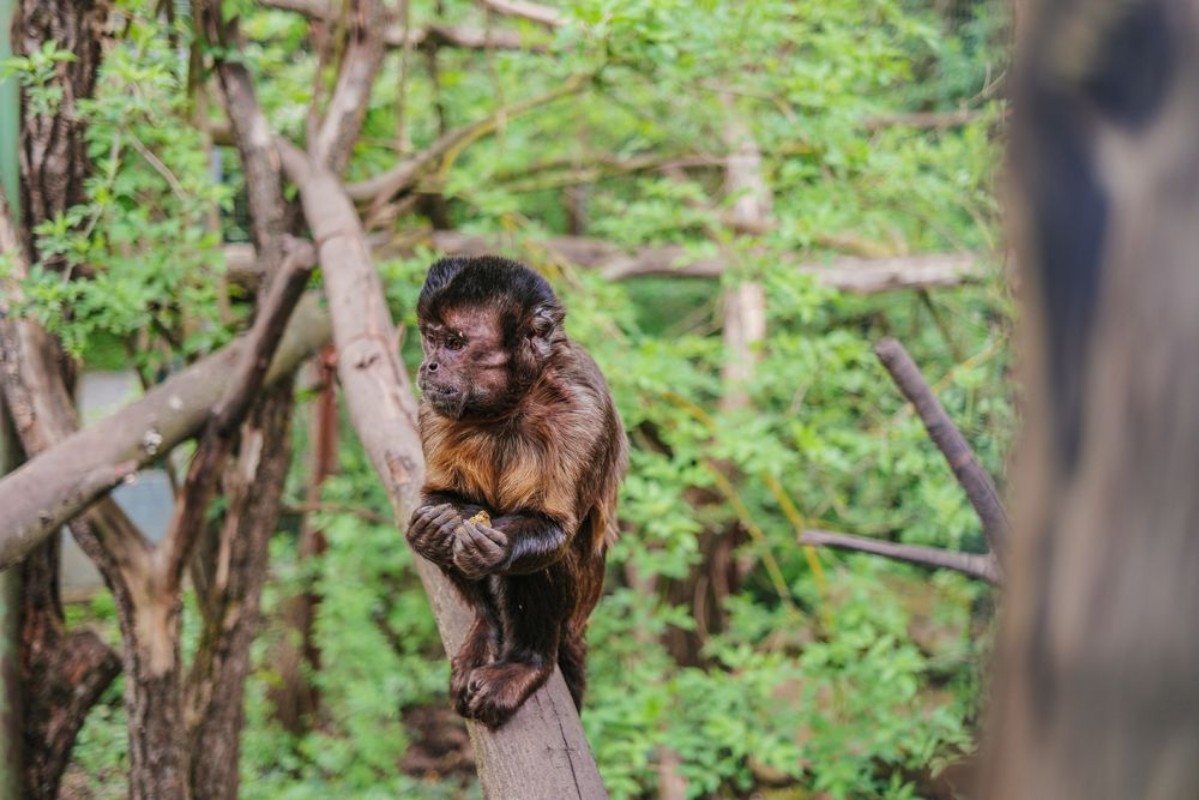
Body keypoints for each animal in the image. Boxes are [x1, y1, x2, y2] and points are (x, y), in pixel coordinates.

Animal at [405, 255, 627, 729]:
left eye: (455, 343)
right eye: (430, 340)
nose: (428, 365)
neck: (511, 405)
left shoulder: (581, 411)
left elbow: (552, 528)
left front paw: (493, 547)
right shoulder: (432, 409)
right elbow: (443, 502)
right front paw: (436, 525)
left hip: (577, 607)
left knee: (543, 562)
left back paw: (528, 663)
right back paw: (486, 626)